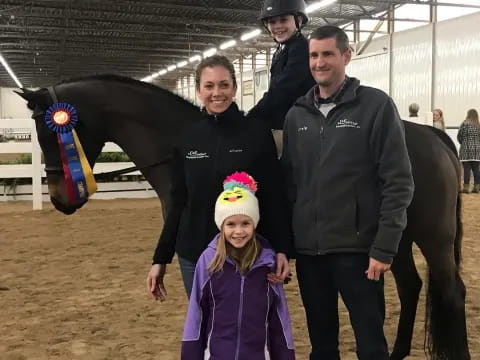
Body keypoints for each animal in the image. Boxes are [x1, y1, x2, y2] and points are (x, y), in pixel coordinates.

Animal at [16, 74, 470, 358]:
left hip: (433, 236)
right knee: (411, 287)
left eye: (51, 132)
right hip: (396, 238)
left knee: (451, 291)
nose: (59, 199)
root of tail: (432, 136)